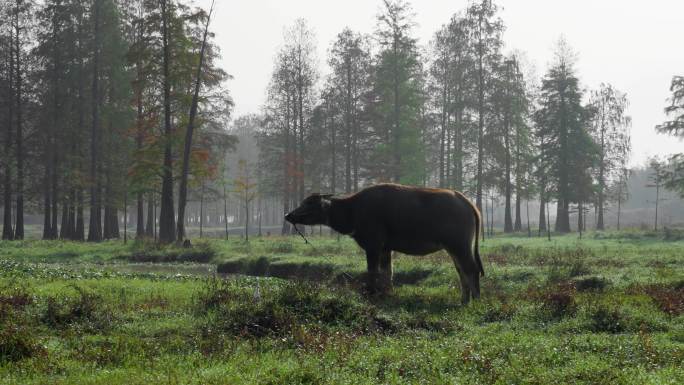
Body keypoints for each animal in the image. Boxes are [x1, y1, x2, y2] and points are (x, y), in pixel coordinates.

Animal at [286, 183, 484, 304]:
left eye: (310, 204)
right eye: (304, 202)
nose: (288, 215)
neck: (354, 209)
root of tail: (466, 202)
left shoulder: (373, 246)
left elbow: (372, 271)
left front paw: (371, 294)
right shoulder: (385, 249)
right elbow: (387, 273)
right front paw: (387, 294)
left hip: (460, 246)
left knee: (471, 269)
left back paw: (476, 299)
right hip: (454, 248)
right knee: (461, 271)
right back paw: (464, 299)